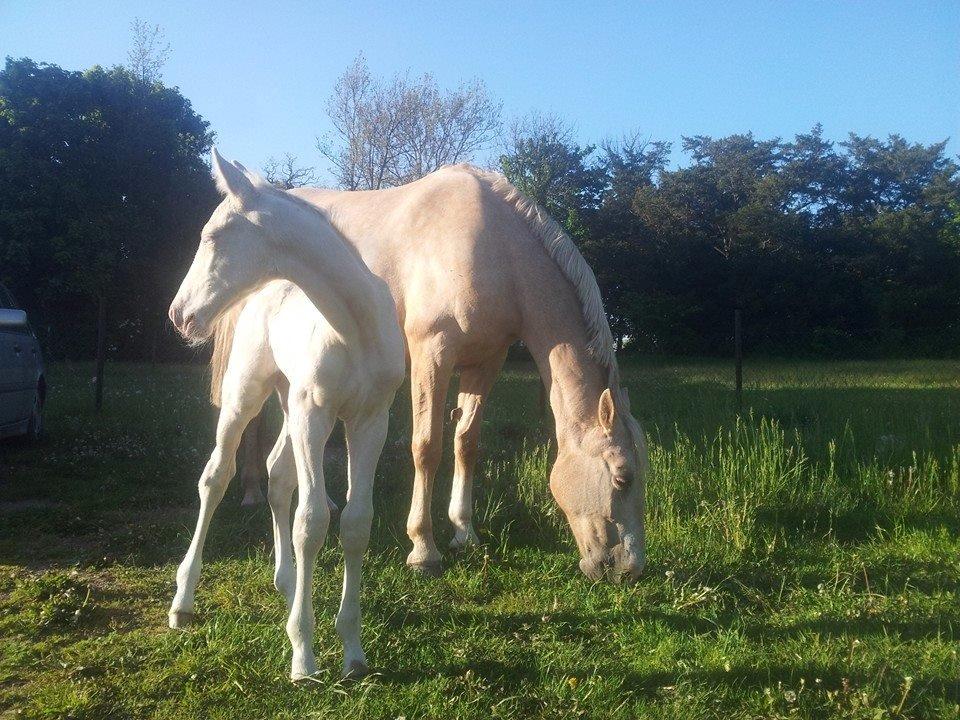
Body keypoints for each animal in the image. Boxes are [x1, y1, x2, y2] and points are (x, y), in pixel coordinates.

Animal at [167, 148, 404, 680]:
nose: (179, 314)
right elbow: (311, 521)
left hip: (290, 402)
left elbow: (355, 522)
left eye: (211, 237)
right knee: (216, 476)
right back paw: (183, 601)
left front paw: (352, 651)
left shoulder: (369, 421)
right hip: (249, 396)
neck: (355, 326)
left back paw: (289, 586)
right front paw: (304, 655)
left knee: (277, 476)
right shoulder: (315, 414)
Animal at [216, 162, 652, 580]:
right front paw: (423, 549)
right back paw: (252, 491)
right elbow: (427, 447)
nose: (629, 570)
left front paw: (464, 532)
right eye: (622, 477)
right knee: (252, 422)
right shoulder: (433, 353)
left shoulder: (485, 362)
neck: (496, 249)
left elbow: (466, 443)